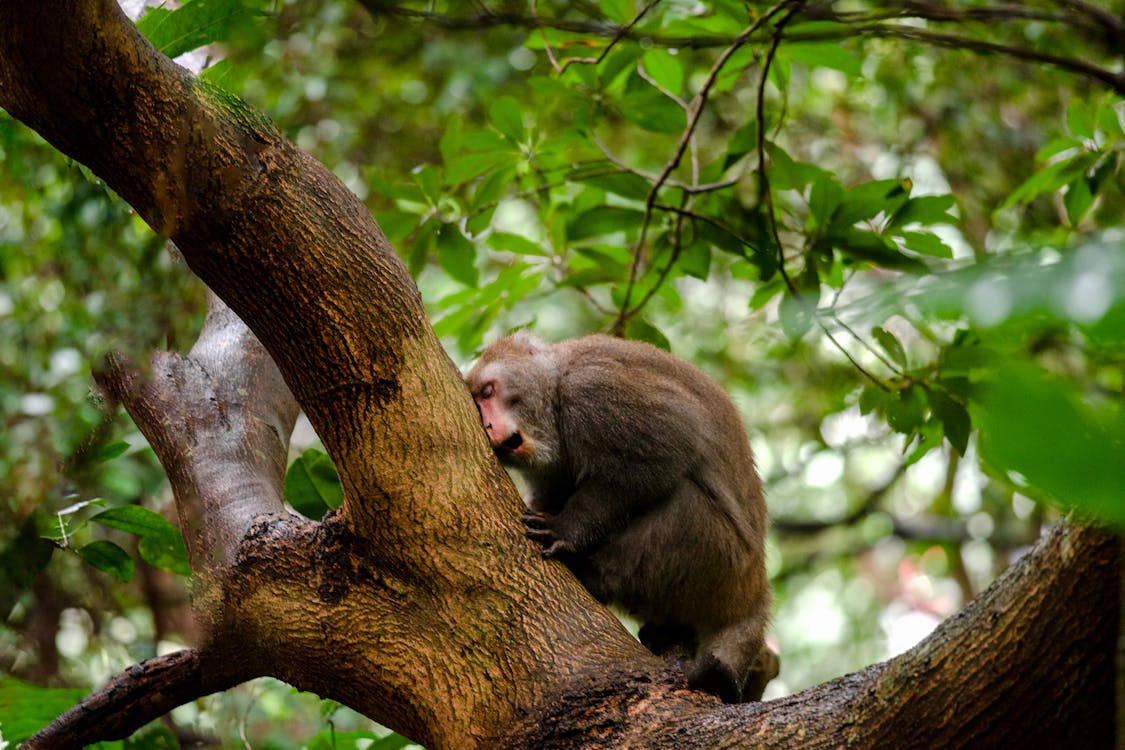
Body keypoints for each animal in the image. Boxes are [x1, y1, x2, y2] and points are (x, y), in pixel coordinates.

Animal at [465, 330, 774, 701]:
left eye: (487, 392)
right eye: (477, 403)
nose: (488, 425)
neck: (556, 388)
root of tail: (755, 586)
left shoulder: (595, 391)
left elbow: (662, 452)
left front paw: (566, 530)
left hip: (718, 559)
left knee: (682, 499)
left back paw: (593, 574)